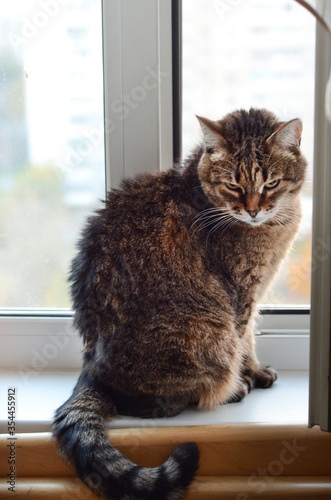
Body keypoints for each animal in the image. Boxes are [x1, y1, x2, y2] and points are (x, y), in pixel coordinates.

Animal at [53, 109, 308, 500]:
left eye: (271, 183)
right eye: (233, 185)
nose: (252, 211)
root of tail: (92, 372)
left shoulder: (252, 295)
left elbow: (251, 337)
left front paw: (256, 371)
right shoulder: (242, 295)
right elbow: (245, 341)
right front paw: (249, 374)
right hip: (208, 332)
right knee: (161, 401)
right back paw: (229, 391)